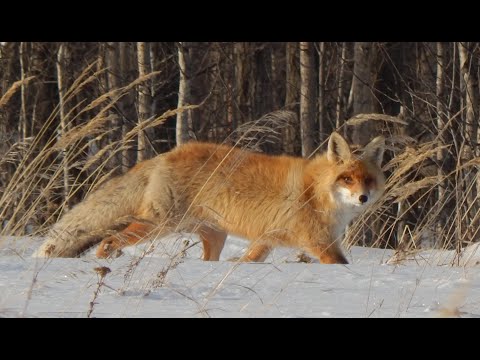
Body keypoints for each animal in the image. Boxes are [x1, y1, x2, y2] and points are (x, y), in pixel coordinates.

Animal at [33, 132, 386, 264]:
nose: (363, 198)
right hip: (159, 224)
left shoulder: (265, 240)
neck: (316, 192)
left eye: (368, 179)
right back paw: (104, 260)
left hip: (214, 236)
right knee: (109, 240)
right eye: (347, 179)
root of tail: (165, 154)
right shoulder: (320, 244)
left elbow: (246, 261)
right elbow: (341, 265)